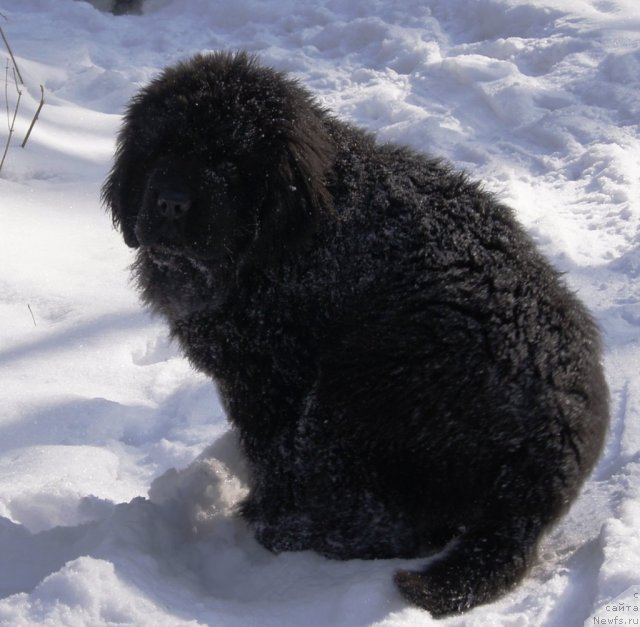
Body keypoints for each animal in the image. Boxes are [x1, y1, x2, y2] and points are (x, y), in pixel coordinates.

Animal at [102, 50, 608, 620]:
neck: (284, 238)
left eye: (228, 162)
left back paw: (293, 533)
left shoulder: (269, 379)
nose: (170, 203)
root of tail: (548, 465)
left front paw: (266, 509)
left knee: (391, 525)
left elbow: (272, 454)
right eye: (160, 150)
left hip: (356, 392)